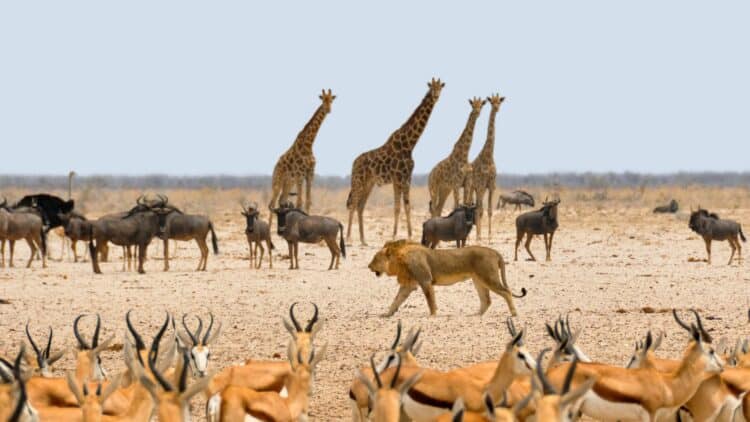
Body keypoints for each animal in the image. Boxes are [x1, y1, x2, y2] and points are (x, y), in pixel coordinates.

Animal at [368, 240, 527, 317]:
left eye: (375, 259)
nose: (368, 266)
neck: (400, 260)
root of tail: (495, 251)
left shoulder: (425, 280)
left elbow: (430, 300)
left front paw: (432, 315)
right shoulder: (409, 285)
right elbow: (396, 300)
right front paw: (387, 314)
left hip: (489, 277)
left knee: (506, 292)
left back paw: (514, 313)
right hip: (478, 280)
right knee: (486, 300)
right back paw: (476, 315)